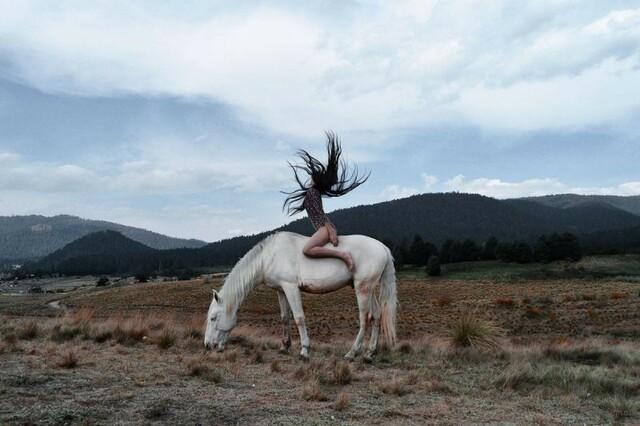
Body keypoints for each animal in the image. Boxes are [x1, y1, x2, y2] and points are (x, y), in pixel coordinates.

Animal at [204, 231, 396, 362]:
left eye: (213, 318)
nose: (207, 345)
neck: (269, 256)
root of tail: (383, 247)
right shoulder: (281, 290)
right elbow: (284, 318)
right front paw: (284, 346)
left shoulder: (291, 287)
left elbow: (299, 318)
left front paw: (304, 351)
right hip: (369, 289)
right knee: (377, 316)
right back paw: (370, 353)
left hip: (362, 289)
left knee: (365, 319)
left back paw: (352, 353)